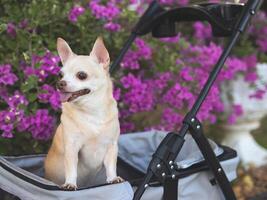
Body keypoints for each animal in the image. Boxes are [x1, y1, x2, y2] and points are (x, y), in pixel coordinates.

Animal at [44, 36, 122, 190]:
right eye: (60, 75)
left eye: (81, 75)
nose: (60, 83)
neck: (91, 110)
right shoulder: (72, 147)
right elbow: (71, 168)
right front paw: (70, 183)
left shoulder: (111, 146)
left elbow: (111, 166)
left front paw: (113, 178)